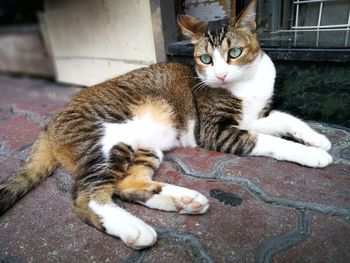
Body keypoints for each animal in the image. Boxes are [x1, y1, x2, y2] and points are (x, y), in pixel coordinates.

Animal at [0, 0, 330, 251]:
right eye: (206, 59)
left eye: (234, 53)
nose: (221, 75)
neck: (246, 84)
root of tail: (50, 124)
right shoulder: (215, 131)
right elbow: (269, 141)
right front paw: (313, 155)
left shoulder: (256, 117)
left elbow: (286, 119)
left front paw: (318, 140)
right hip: (106, 139)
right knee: (87, 195)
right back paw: (134, 228)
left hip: (144, 147)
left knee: (125, 184)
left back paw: (184, 200)